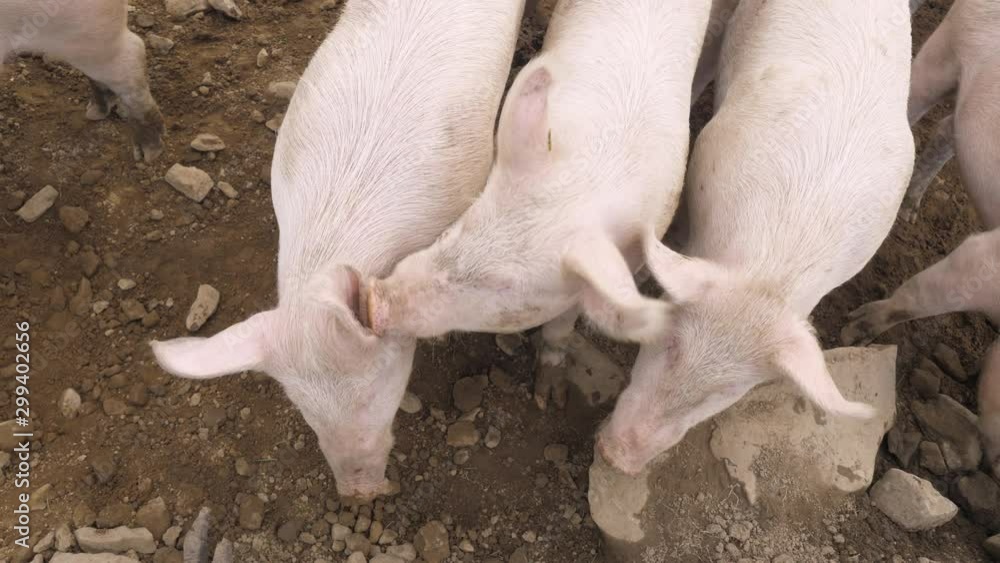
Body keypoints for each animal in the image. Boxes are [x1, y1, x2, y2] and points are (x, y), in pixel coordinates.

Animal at [365, 0, 713, 410]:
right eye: (456, 228)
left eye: (508, 291)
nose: (373, 300)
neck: (588, 182)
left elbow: (565, 323)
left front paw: (549, 397)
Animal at [841, 0, 1000, 476]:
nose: (993, 466)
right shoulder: (983, 260)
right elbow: (919, 296)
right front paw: (853, 334)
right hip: (951, 42)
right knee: (918, 97)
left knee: (949, 127)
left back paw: (910, 210)